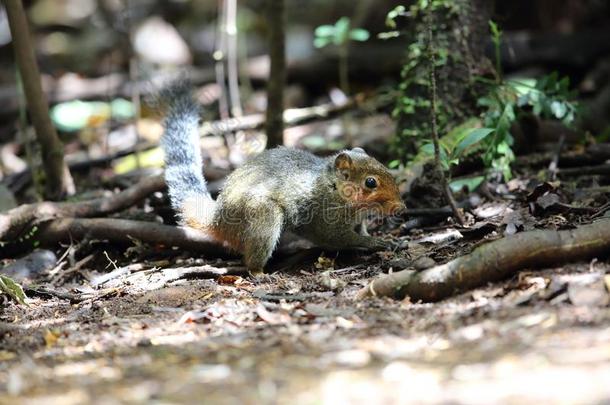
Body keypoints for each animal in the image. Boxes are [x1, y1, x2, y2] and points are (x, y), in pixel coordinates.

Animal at [162, 85, 404, 274]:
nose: (400, 207)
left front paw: (379, 237)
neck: (334, 189)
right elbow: (341, 238)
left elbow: (360, 230)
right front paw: (373, 242)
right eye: (370, 182)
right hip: (262, 217)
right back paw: (259, 272)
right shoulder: (326, 218)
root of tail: (218, 220)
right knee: (253, 255)